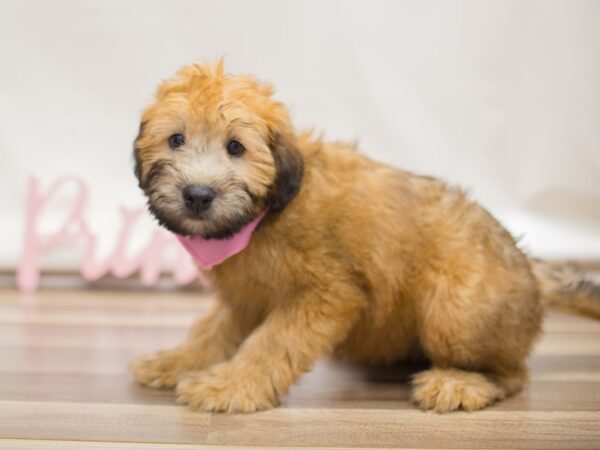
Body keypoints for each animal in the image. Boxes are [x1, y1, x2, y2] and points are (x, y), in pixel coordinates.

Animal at [130, 61, 600, 414]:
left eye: (235, 147)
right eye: (175, 139)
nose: (197, 195)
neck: (265, 215)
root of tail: (532, 271)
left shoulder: (326, 294)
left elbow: (272, 343)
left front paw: (229, 385)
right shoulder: (246, 294)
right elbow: (213, 331)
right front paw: (178, 361)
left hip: (456, 309)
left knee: (514, 372)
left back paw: (459, 384)